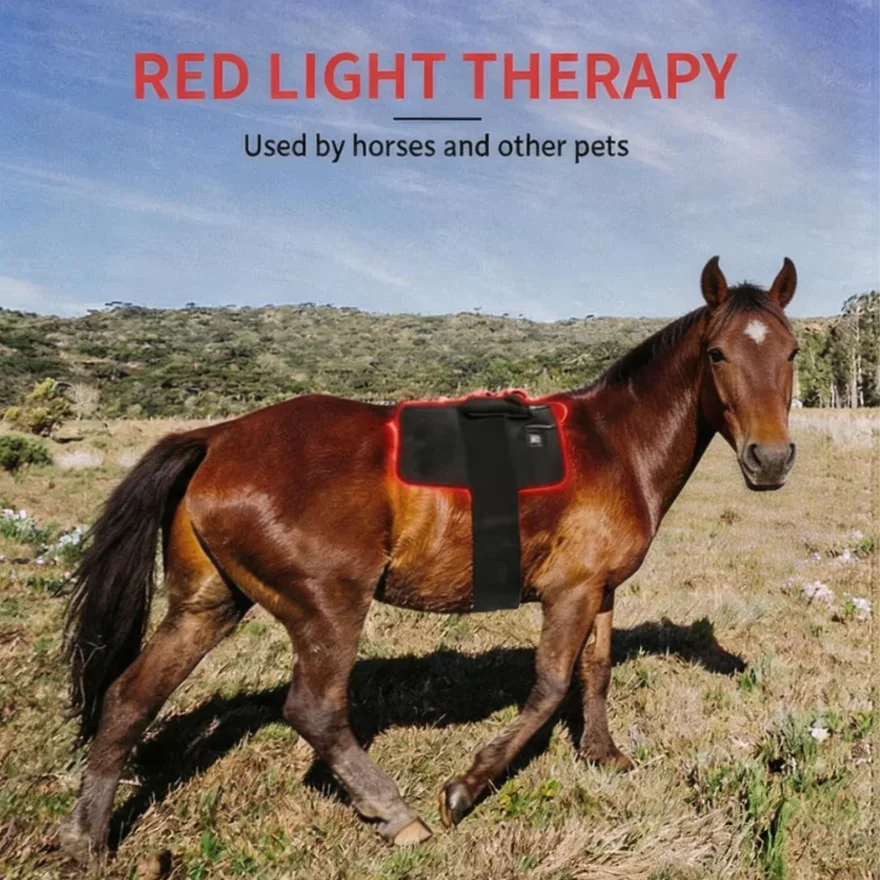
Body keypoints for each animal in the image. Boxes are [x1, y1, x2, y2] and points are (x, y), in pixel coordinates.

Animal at [59, 256, 799, 862]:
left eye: (792, 351)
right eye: (716, 354)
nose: (770, 460)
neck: (614, 444)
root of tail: (215, 437)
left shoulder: (600, 589)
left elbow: (596, 674)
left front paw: (601, 754)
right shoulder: (569, 591)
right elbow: (549, 687)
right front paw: (469, 785)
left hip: (207, 606)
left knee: (128, 698)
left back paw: (87, 837)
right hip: (327, 608)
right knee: (315, 711)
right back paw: (393, 811)